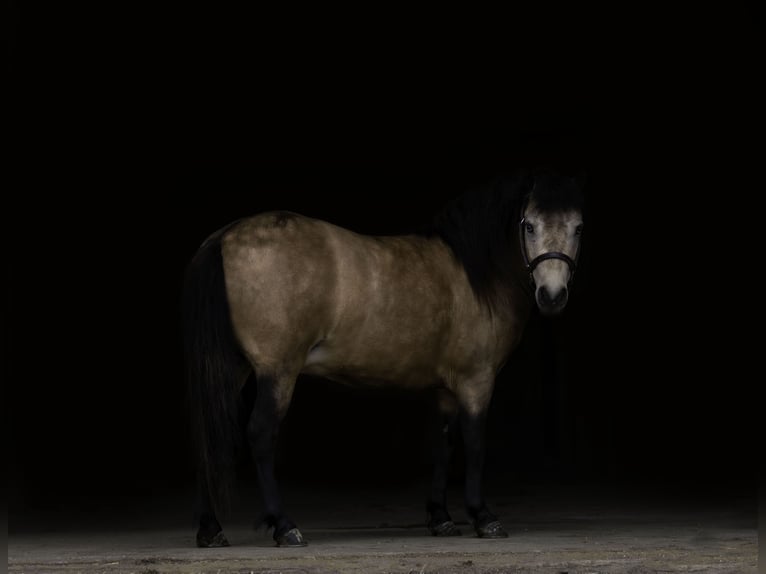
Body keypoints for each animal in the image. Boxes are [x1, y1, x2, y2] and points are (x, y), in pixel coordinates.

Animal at [182, 171, 586, 547]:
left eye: (578, 227)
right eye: (529, 225)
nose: (552, 296)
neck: (475, 275)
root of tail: (224, 238)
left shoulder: (446, 387)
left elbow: (444, 444)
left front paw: (441, 518)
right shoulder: (477, 380)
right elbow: (474, 444)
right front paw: (483, 518)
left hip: (233, 369)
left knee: (206, 439)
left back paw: (211, 530)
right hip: (277, 371)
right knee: (261, 434)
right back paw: (285, 527)